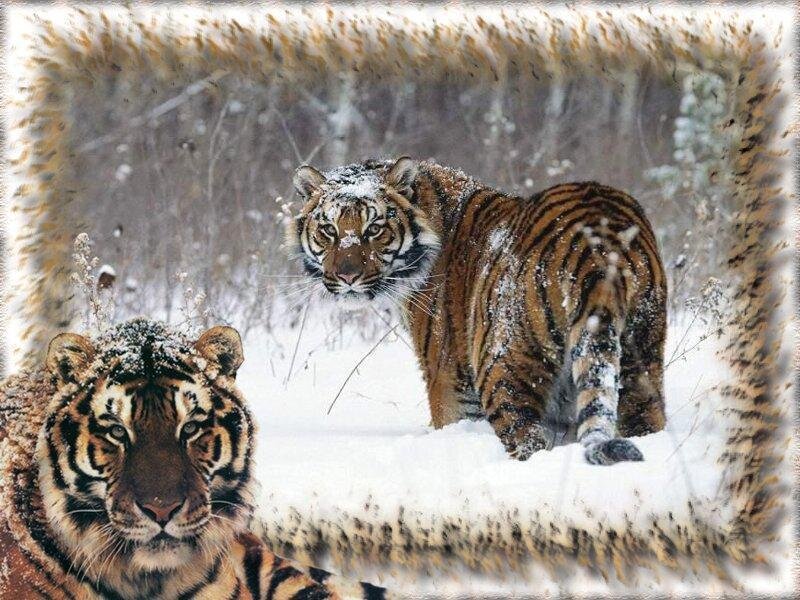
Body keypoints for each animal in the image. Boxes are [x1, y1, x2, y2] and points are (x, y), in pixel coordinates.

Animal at [289, 157, 668, 465]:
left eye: (374, 229)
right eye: (329, 230)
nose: (347, 276)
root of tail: (599, 242)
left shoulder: (450, 383)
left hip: (502, 367)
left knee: (528, 440)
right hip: (640, 362)